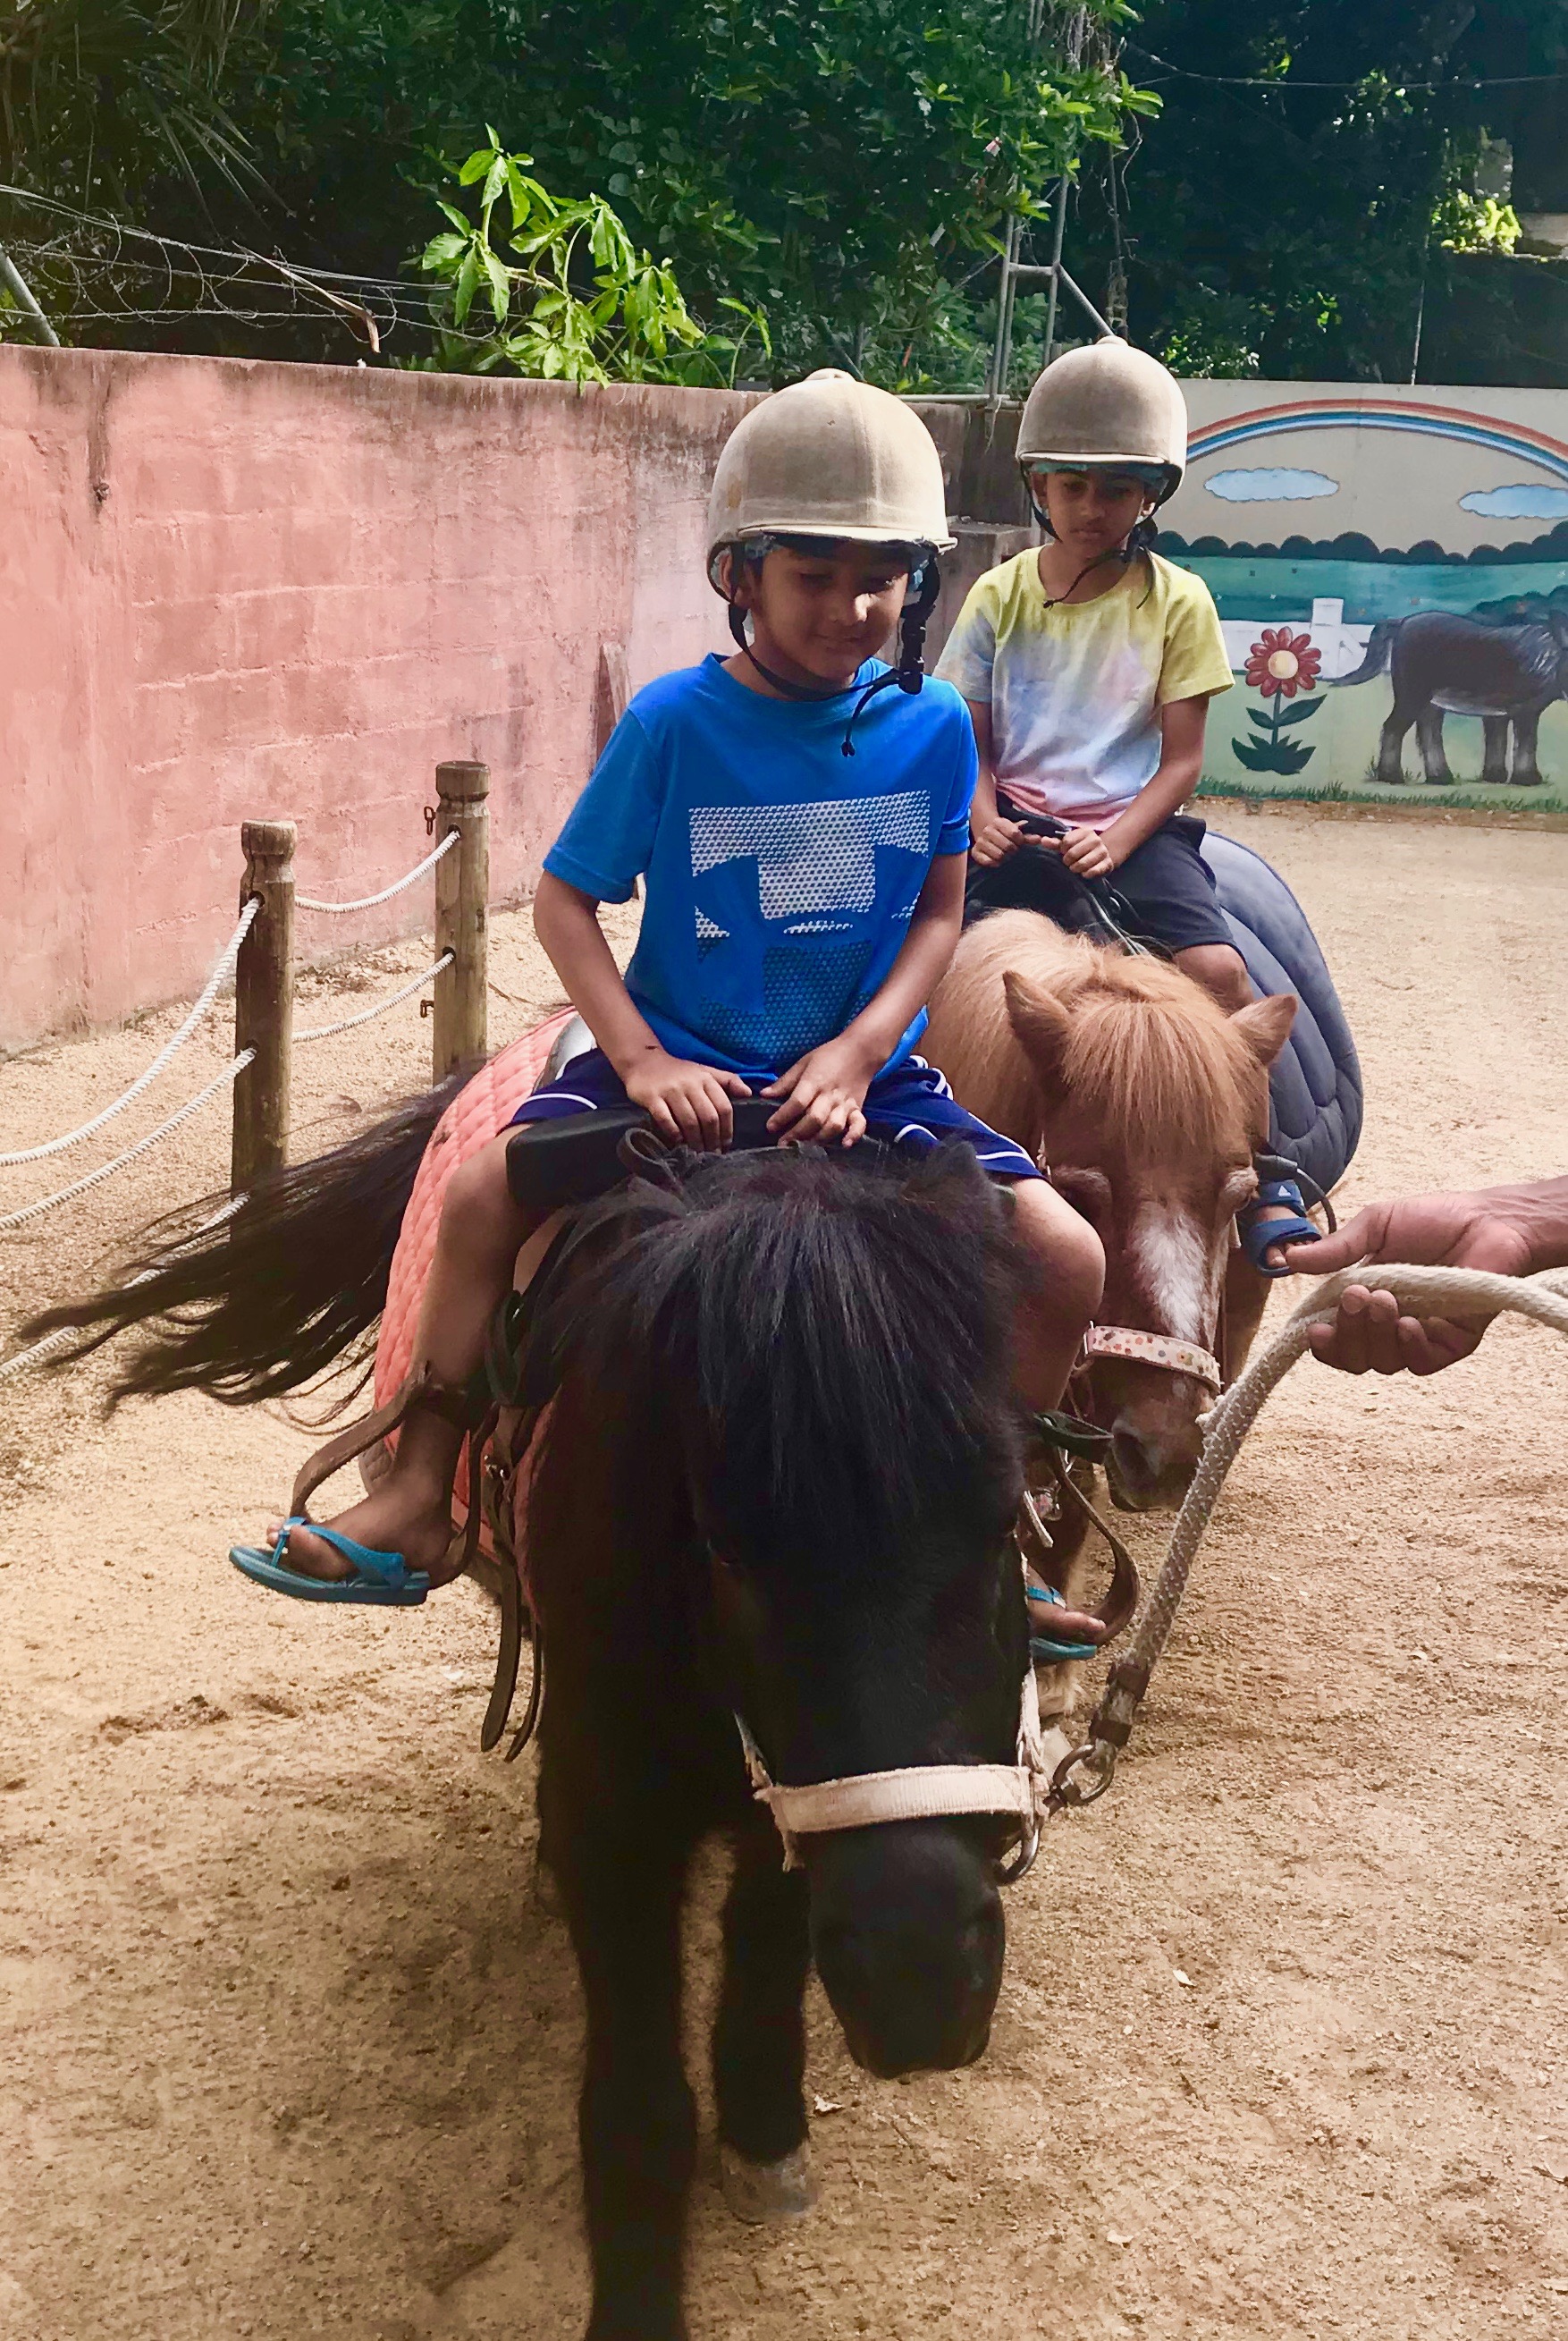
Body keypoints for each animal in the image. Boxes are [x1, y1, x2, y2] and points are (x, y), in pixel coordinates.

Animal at [25, 1111, 1058, 2341]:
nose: (919, 1981)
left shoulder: (795, 1814)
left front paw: (764, 2136)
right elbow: (639, 2107)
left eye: (1005, 1521)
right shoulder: (612, 1812)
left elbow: (764, 1953)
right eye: (725, 1548)